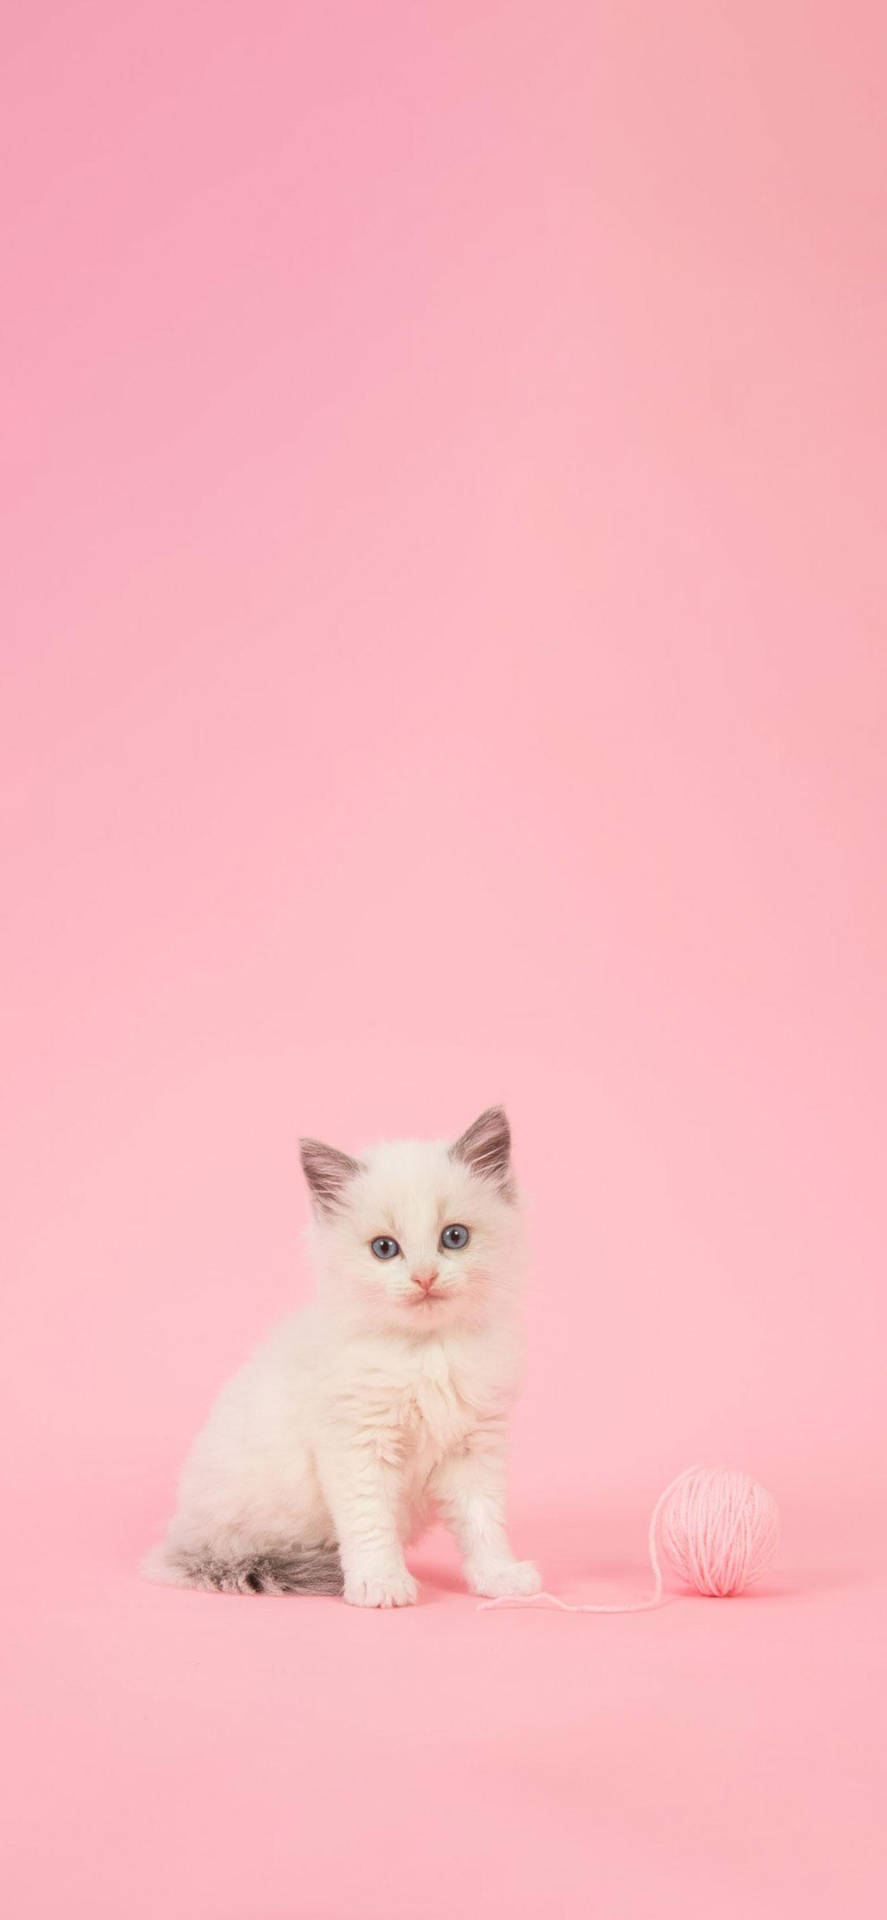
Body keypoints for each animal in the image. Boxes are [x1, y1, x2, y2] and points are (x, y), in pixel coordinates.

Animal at [143, 1113, 541, 1605]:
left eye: (455, 1237)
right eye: (384, 1248)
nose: (424, 1278)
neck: (427, 1353)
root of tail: (179, 1540)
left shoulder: (475, 1445)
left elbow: (482, 1521)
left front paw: (499, 1577)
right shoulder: (357, 1444)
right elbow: (369, 1523)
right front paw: (381, 1582)